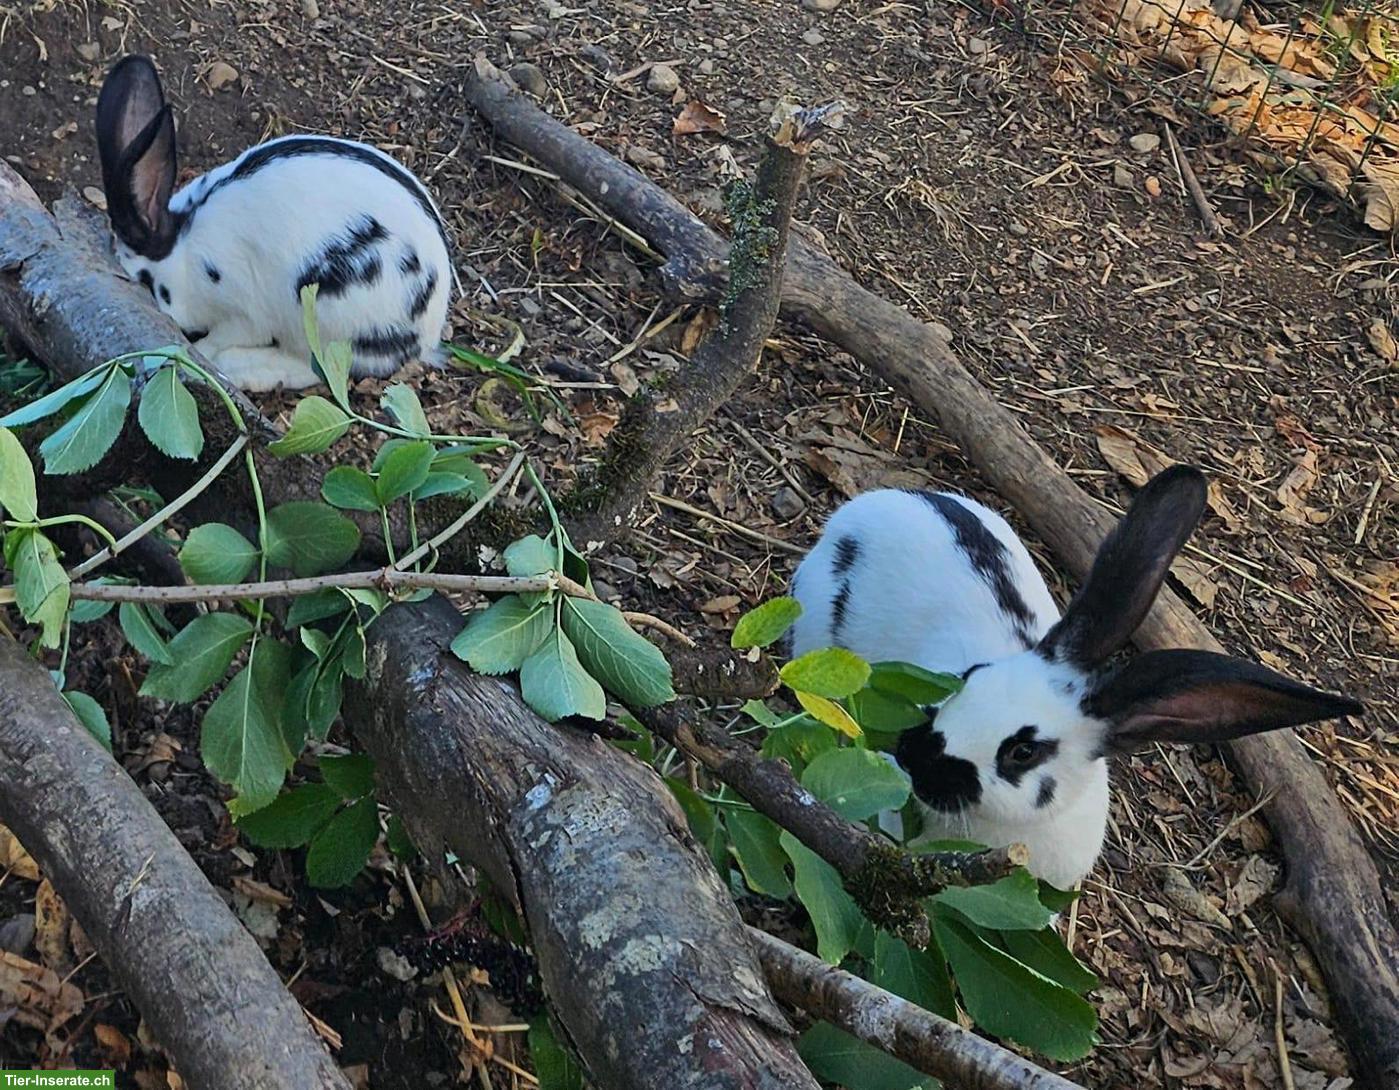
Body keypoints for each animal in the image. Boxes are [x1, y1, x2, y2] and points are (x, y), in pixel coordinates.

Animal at [95, 55, 453, 392]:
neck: (182, 252)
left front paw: (202, 356)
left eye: (144, 283)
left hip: (323, 312)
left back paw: (242, 370)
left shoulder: (243, 313)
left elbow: (220, 337)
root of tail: (427, 334)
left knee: (318, 367)